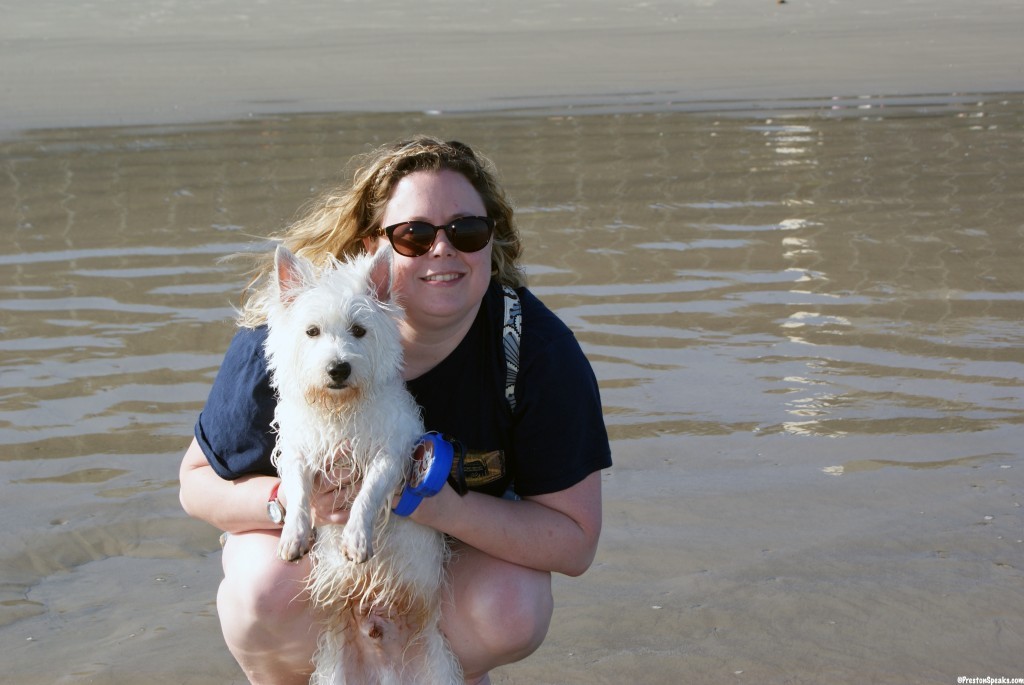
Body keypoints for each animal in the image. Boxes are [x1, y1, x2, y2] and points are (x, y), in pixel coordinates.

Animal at [264, 245, 460, 683]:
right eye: (312, 331)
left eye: (359, 330)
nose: (338, 368)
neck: (341, 409)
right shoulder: (299, 451)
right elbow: (297, 491)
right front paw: (294, 535)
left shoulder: (391, 453)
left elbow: (368, 493)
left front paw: (356, 537)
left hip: (434, 668)